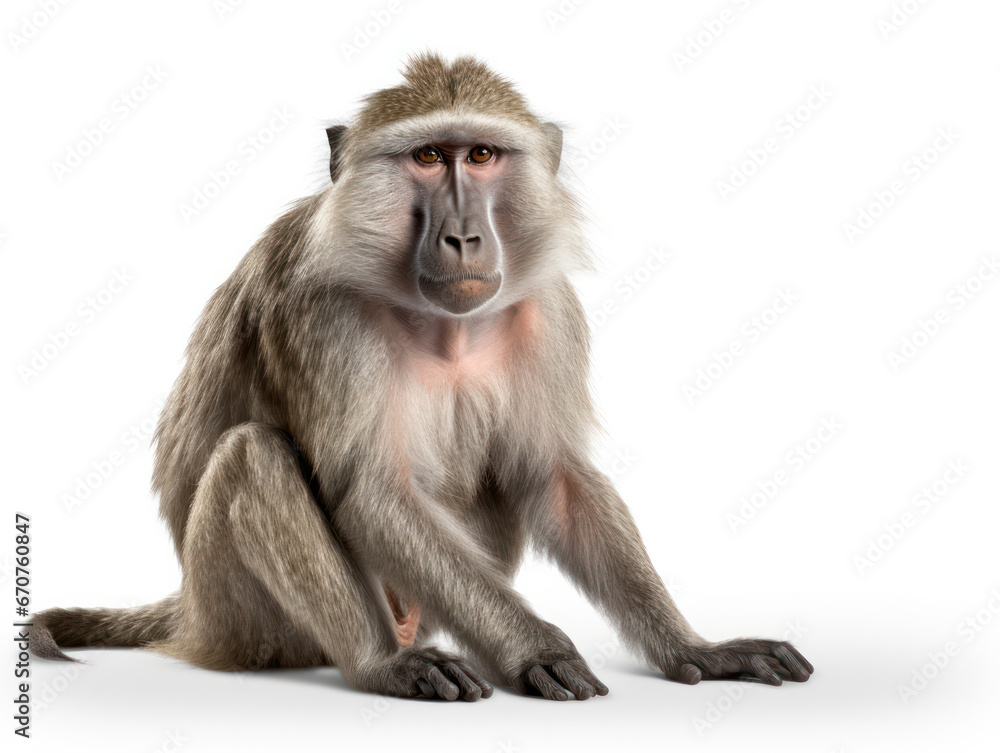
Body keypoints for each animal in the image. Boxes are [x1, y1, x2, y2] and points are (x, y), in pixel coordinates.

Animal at [30, 53, 813, 702]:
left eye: (483, 154)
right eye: (430, 156)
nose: (463, 236)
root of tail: (188, 608)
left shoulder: (550, 311)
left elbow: (554, 479)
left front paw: (694, 648)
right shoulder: (323, 313)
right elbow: (370, 491)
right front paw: (535, 647)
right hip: (242, 622)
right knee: (253, 456)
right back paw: (379, 660)